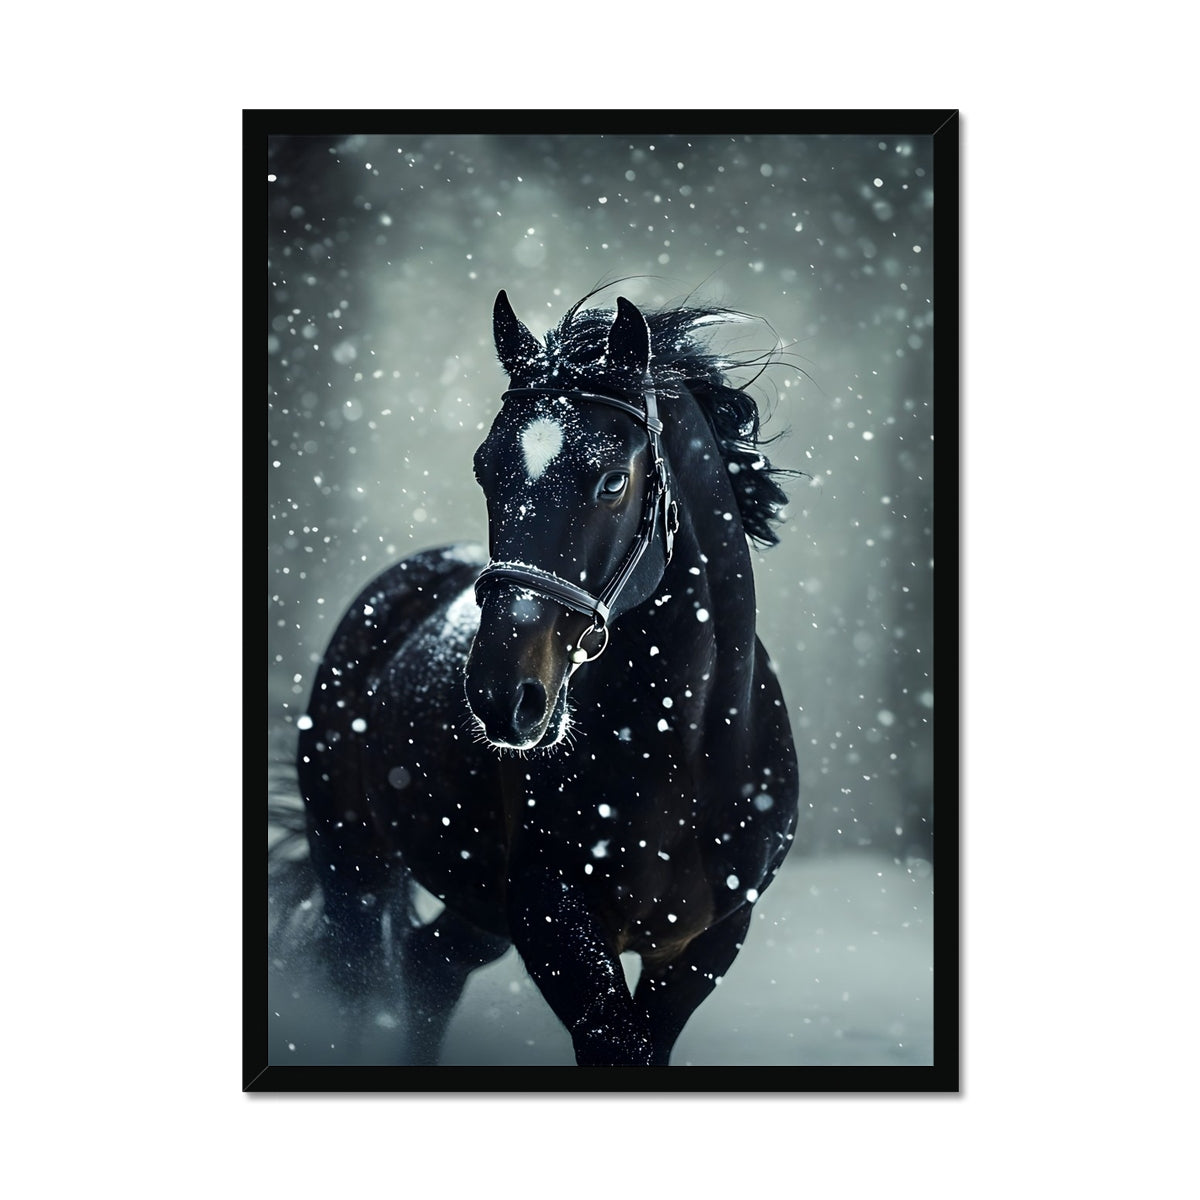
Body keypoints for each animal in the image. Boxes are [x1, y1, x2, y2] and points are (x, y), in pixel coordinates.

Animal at [294, 286, 800, 1066]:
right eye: (485, 469)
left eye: (613, 478)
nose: (502, 697)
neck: (681, 750)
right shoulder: (551, 917)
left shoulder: (705, 944)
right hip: (353, 864)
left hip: (472, 905)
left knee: (430, 965)